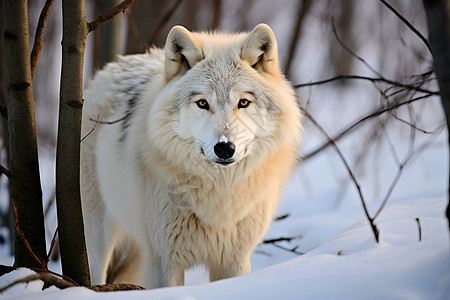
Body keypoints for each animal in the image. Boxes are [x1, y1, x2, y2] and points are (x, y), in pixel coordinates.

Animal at [80, 24, 302, 288]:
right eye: (203, 103)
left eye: (243, 102)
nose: (224, 148)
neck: (220, 193)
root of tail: (112, 67)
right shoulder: (164, 260)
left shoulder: (234, 260)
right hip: (99, 236)